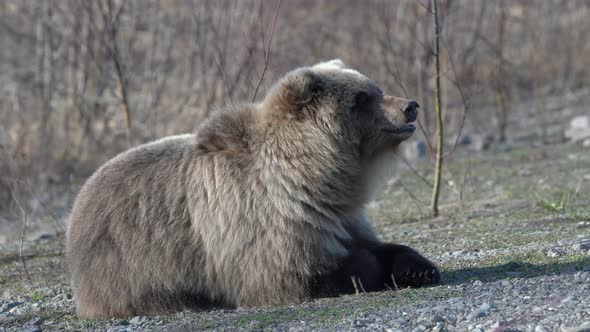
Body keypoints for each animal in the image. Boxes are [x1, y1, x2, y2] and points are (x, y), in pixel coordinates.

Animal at [67, 60, 442, 320]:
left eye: (376, 88)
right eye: (362, 98)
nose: (409, 105)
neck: (315, 178)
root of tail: (79, 201)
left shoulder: (338, 218)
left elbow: (374, 243)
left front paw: (419, 267)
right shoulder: (264, 221)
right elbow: (300, 275)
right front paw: (367, 268)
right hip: (129, 262)